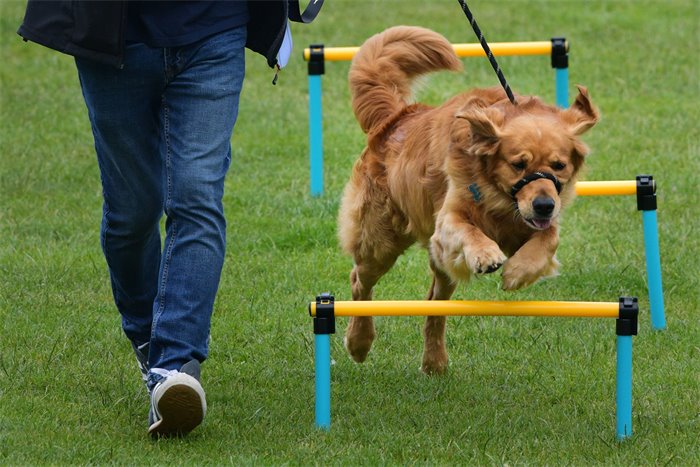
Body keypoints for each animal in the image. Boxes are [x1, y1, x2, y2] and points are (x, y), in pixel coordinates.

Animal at [336, 26, 600, 376]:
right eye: (518, 164)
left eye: (558, 165)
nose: (545, 205)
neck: (500, 201)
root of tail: (393, 119)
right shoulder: (448, 221)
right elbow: (470, 230)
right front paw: (486, 254)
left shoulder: (537, 223)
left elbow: (548, 239)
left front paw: (517, 272)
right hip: (380, 243)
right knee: (360, 283)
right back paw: (359, 342)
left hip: (438, 269)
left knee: (434, 306)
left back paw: (434, 361)